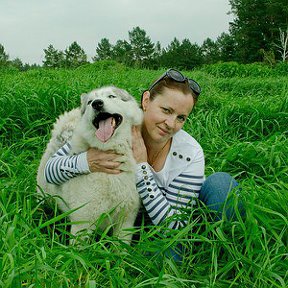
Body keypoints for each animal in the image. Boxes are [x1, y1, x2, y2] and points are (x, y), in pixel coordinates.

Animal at [37, 86, 143, 244]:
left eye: (111, 96)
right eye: (90, 102)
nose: (97, 103)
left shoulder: (126, 222)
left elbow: (121, 247)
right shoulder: (82, 223)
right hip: (45, 200)